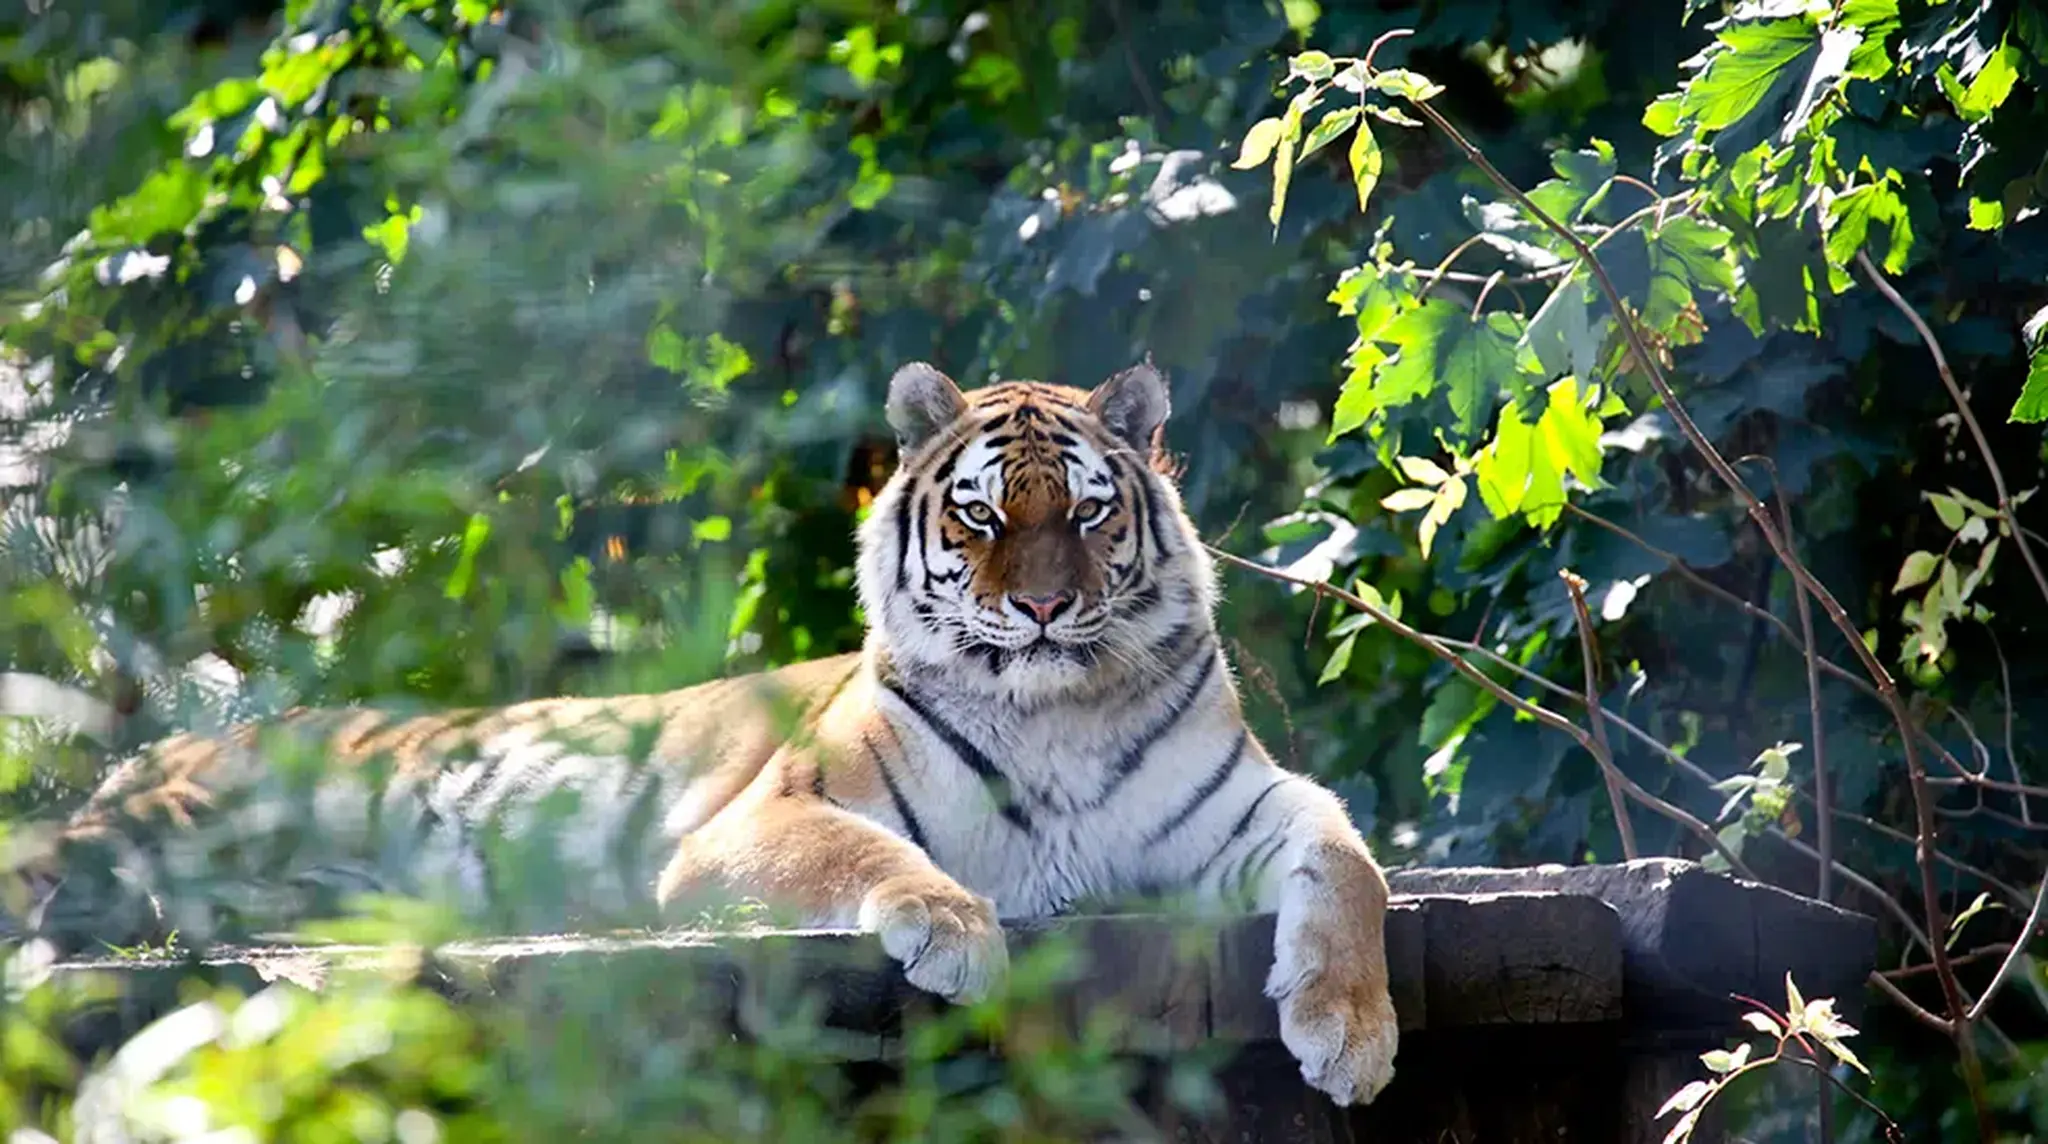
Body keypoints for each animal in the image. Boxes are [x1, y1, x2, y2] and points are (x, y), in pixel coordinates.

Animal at [24, 359, 1399, 1106]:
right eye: (979, 518)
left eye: (1087, 512)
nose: (1044, 608)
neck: (1053, 709)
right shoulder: (755, 820)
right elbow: (883, 858)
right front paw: (958, 934)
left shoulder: (1237, 805)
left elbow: (1353, 867)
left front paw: (1348, 1031)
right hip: (196, 810)